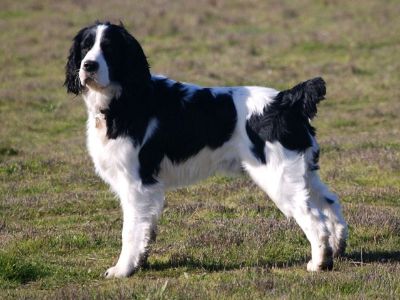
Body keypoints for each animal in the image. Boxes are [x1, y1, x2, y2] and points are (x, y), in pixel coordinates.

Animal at [65, 21, 346, 278]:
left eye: (109, 48)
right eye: (85, 46)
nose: (88, 66)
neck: (125, 100)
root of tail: (285, 100)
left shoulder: (137, 183)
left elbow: (131, 230)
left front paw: (122, 269)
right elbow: (146, 229)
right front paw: (140, 262)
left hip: (279, 179)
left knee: (314, 219)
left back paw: (319, 262)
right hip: (303, 171)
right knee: (331, 202)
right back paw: (339, 247)